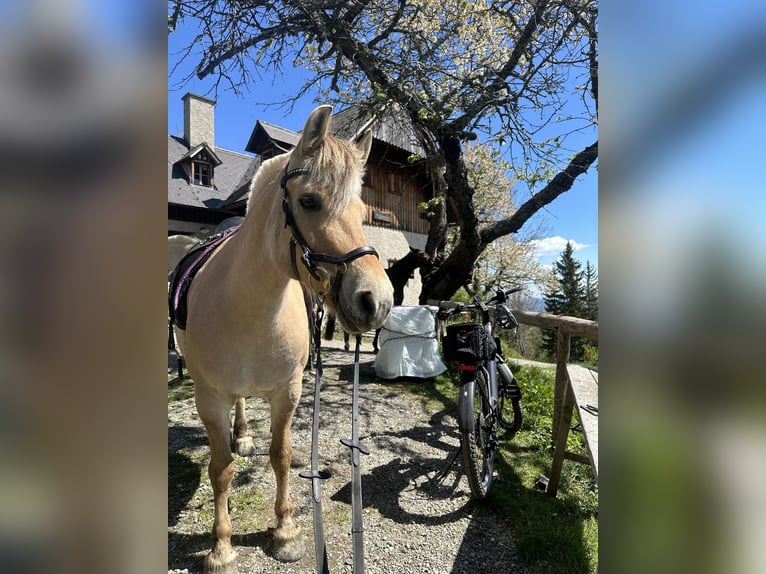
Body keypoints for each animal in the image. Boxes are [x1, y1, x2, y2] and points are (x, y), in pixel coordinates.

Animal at [173, 105, 394, 573]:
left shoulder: (287, 392)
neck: (252, 307)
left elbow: (283, 457)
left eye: (363, 209)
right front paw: (221, 547)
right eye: (309, 201)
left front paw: (286, 530)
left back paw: (243, 435)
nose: (377, 301)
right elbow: (220, 469)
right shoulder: (209, 398)